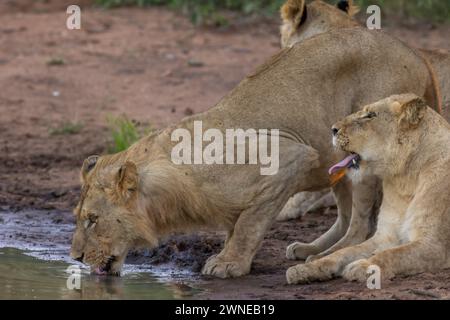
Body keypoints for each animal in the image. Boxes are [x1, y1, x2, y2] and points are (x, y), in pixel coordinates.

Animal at [286, 94, 450, 284]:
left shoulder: (434, 244)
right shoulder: (385, 235)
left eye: (370, 115)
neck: (405, 178)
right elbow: (343, 252)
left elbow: (392, 254)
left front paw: (364, 266)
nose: (333, 129)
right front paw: (305, 268)